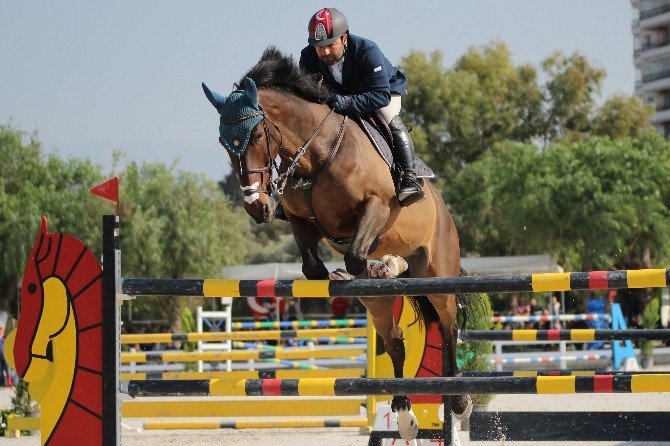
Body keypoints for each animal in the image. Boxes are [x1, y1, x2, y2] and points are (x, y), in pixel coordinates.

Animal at [202, 48, 476, 440]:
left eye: (255, 136)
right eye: (225, 144)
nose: (257, 207)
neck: (316, 153)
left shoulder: (376, 207)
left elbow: (357, 257)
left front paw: (379, 266)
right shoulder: (302, 221)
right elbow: (314, 267)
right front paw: (349, 274)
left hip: (438, 273)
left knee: (449, 326)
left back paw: (458, 399)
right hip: (380, 304)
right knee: (394, 341)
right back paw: (404, 415)